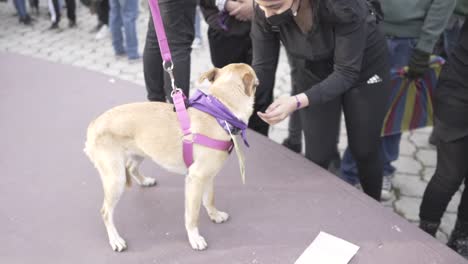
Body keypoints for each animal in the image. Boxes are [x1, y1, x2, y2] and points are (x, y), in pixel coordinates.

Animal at [85, 63, 260, 252]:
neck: (220, 111)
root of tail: (93, 124)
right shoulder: (195, 180)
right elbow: (192, 215)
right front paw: (194, 238)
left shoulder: (208, 177)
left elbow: (209, 198)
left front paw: (214, 214)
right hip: (115, 179)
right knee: (106, 212)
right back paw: (115, 239)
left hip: (140, 152)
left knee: (131, 167)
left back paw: (145, 181)